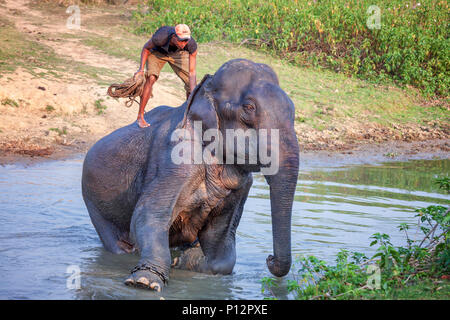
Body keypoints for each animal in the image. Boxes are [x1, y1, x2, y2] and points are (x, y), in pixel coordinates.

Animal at [81, 58, 298, 292]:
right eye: (249, 107)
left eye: (293, 111)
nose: (269, 258)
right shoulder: (176, 160)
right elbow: (148, 213)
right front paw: (145, 282)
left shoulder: (241, 187)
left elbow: (219, 237)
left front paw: (183, 262)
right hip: (95, 204)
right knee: (119, 244)